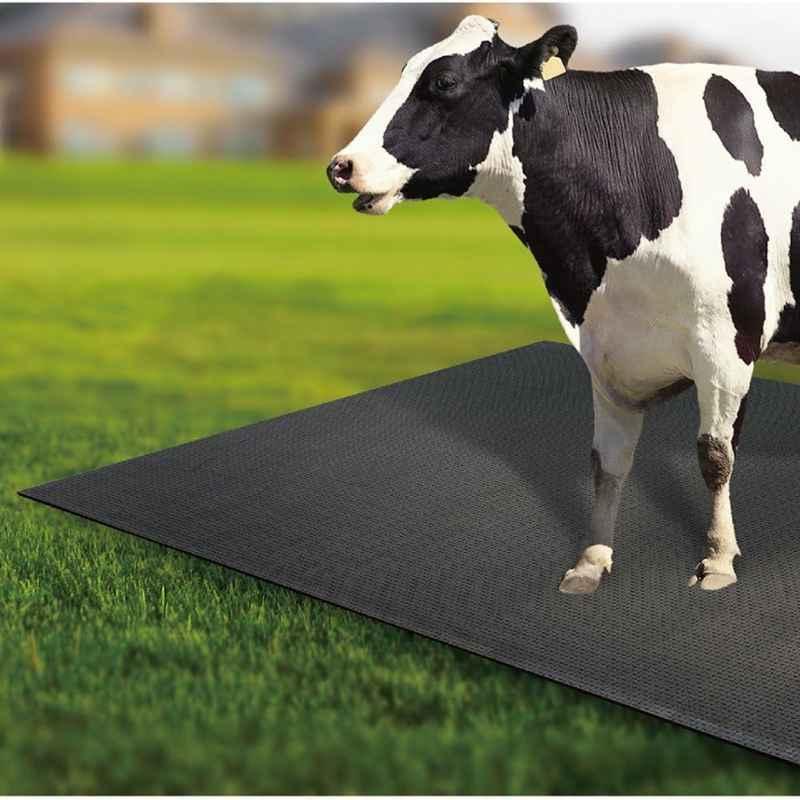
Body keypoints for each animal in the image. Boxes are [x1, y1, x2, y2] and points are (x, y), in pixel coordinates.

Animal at [326, 14, 800, 594]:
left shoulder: (727, 342)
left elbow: (715, 454)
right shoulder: (606, 342)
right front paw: (592, 560)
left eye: (444, 82)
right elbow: (607, 462)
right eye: (404, 70)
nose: (341, 166)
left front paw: (717, 560)